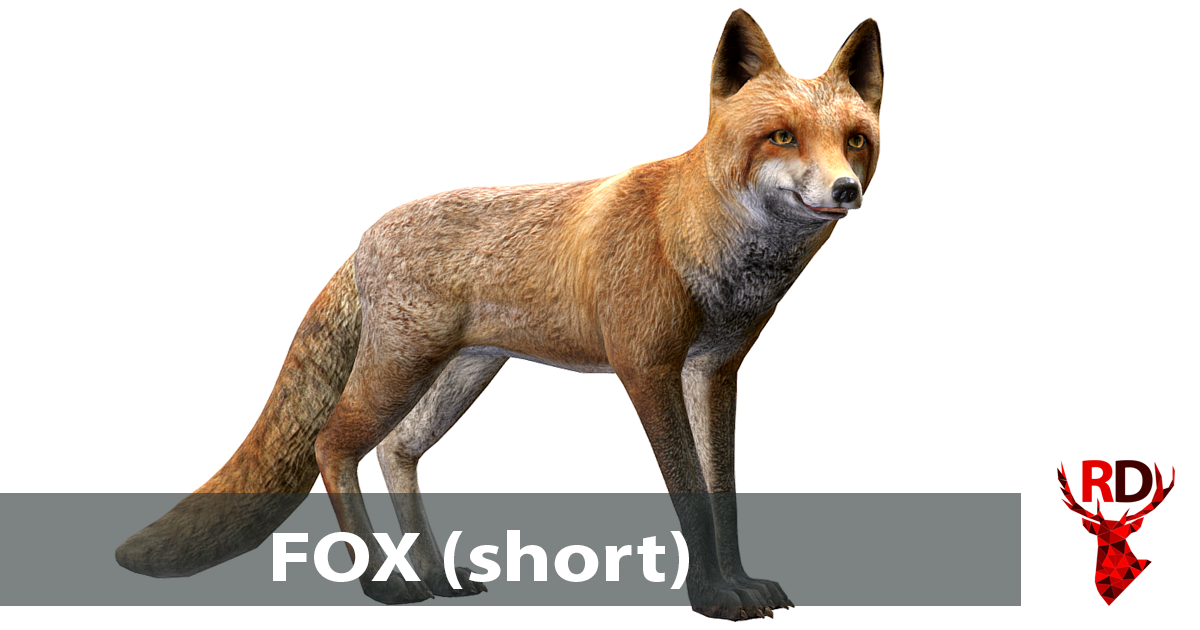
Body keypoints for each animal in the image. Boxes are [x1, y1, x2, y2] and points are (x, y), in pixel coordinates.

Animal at [116, 9, 883, 620]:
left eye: (855, 140)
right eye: (781, 137)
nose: (846, 190)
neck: (698, 241)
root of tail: (364, 236)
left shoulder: (716, 370)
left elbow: (724, 492)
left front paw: (738, 582)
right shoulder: (647, 370)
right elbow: (690, 492)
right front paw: (712, 598)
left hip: (461, 377)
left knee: (397, 451)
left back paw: (433, 574)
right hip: (402, 370)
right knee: (331, 445)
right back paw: (383, 582)